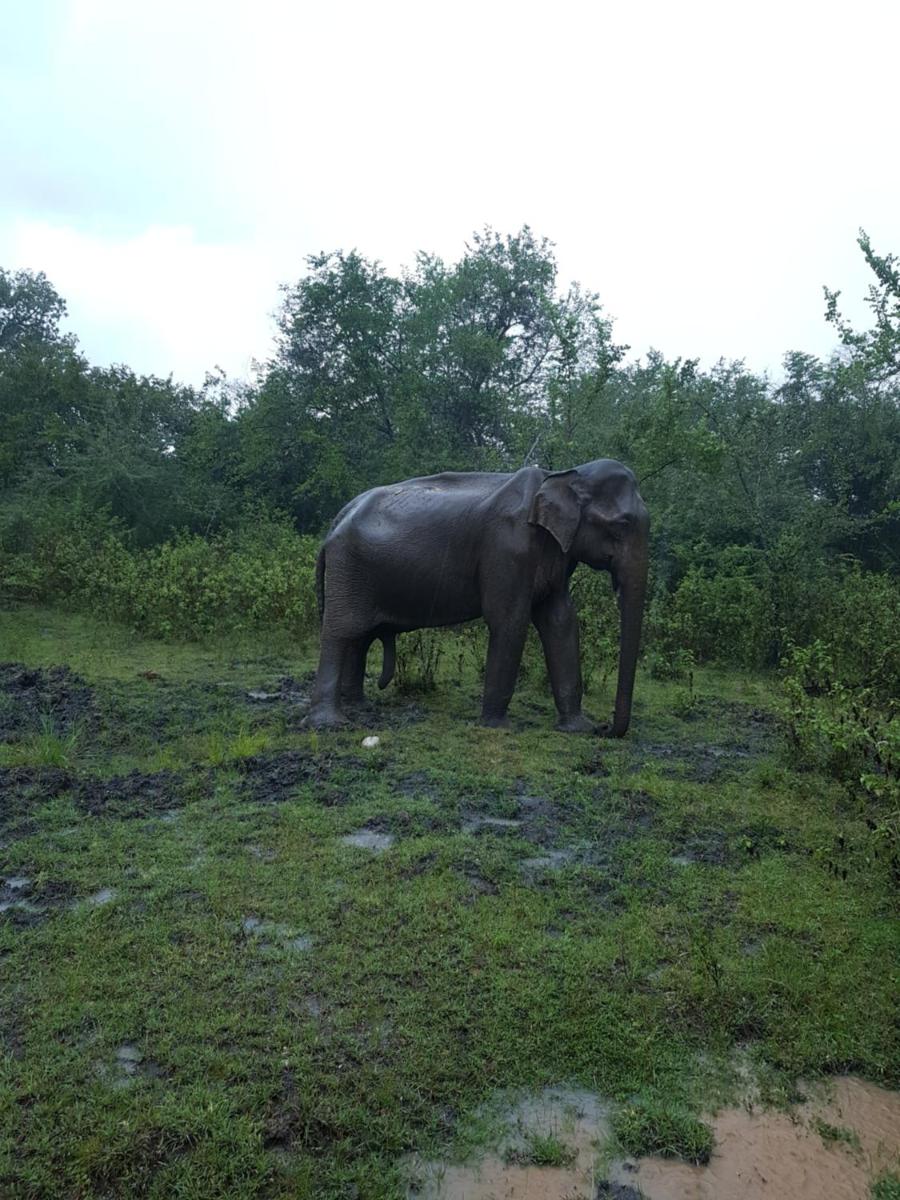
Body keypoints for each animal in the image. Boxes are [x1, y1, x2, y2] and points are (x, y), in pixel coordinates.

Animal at [306, 459, 649, 735]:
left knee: (359, 637)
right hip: (349, 567)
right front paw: (498, 727)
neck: (562, 475)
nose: (605, 728)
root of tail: (336, 521)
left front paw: (578, 729)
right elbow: (509, 622)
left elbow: (561, 622)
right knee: (341, 632)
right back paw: (330, 724)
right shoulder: (507, 548)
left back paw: (359, 706)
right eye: (622, 524)